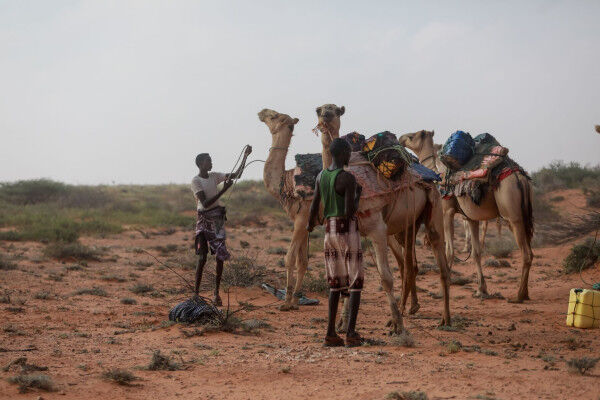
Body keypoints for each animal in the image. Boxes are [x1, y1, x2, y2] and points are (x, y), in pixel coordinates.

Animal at [258, 107, 450, 332]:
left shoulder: (302, 217)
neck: (285, 183)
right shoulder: (308, 221)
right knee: (408, 262)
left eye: (274, 116)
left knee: (434, 263)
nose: (261, 112)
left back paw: (441, 318)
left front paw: (288, 303)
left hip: (427, 215)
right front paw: (297, 301)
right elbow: (303, 261)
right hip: (406, 223)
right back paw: (409, 309)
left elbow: (290, 258)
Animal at [398, 130, 536, 302]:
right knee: (529, 250)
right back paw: (525, 293)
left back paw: (519, 296)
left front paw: (442, 291)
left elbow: (449, 250)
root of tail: (519, 178)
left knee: (526, 253)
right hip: (523, 215)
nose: (400, 138)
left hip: (512, 213)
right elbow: (476, 252)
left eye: (412, 136)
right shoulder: (471, 218)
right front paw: (481, 289)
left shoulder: (447, 212)